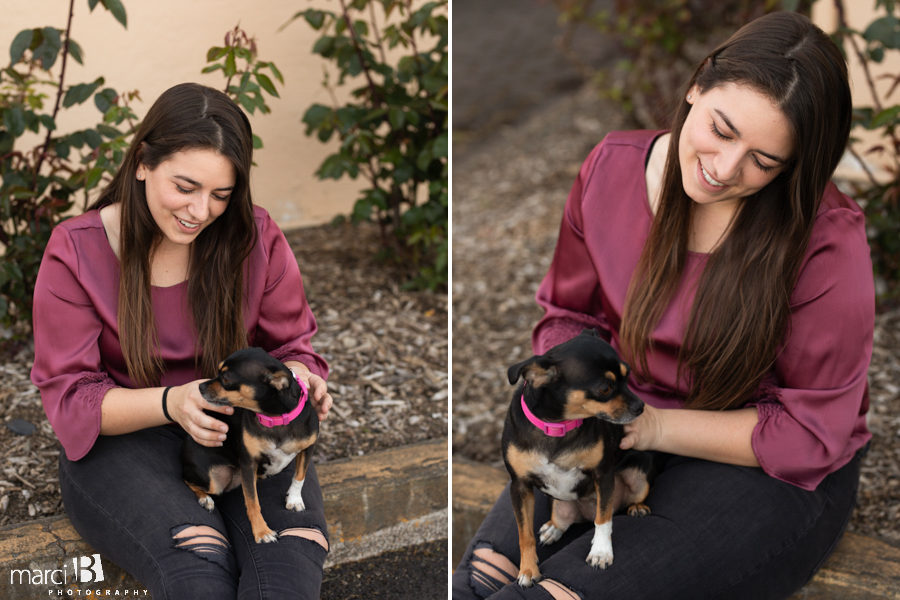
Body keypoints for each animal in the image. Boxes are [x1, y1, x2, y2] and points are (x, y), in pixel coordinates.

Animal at [181, 346, 318, 544]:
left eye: (226, 378)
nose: (200, 387)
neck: (275, 420)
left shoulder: (307, 448)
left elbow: (299, 476)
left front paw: (294, 499)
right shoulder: (248, 463)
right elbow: (253, 502)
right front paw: (262, 532)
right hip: (214, 479)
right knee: (187, 479)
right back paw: (205, 499)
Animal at [502, 328, 652, 584]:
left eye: (628, 375)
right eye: (605, 388)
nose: (641, 406)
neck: (558, 427)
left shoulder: (603, 475)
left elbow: (603, 519)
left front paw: (601, 552)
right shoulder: (519, 486)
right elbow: (525, 534)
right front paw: (528, 569)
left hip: (637, 474)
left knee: (615, 505)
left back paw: (637, 507)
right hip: (556, 501)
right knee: (563, 519)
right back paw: (554, 527)